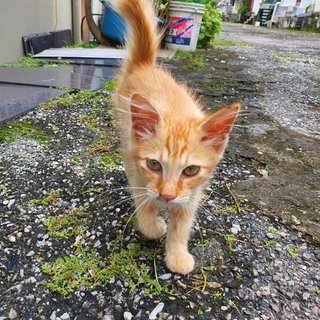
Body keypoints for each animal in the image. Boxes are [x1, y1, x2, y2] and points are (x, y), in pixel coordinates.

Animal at [113, 0, 240, 276]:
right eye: (153, 165)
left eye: (191, 170)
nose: (168, 197)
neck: (177, 113)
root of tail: (146, 66)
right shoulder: (137, 170)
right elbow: (144, 204)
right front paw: (154, 225)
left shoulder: (193, 193)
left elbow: (182, 225)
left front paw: (177, 254)